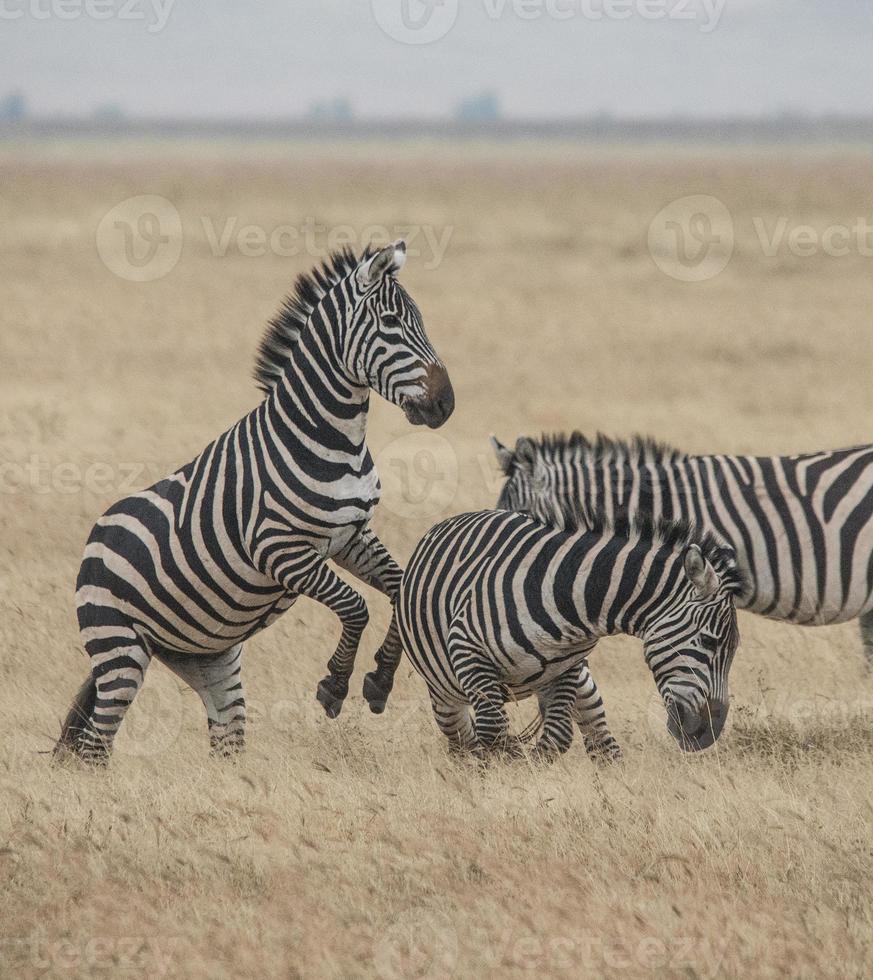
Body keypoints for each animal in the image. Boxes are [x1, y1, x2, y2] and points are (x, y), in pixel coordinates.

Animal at [52, 241, 456, 760]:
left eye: (420, 321)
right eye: (390, 323)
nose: (445, 405)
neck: (329, 438)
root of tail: (94, 538)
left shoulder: (350, 537)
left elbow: (400, 590)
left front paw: (381, 680)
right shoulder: (279, 551)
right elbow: (355, 606)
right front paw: (335, 685)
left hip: (208, 658)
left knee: (225, 738)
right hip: (119, 649)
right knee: (94, 746)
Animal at [396, 506, 744, 756]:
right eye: (708, 641)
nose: (708, 734)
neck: (571, 597)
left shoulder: (567, 666)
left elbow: (557, 737)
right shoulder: (469, 651)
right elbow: (493, 732)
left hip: (579, 686)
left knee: (600, 735)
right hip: (445, 693)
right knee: (461, 742)